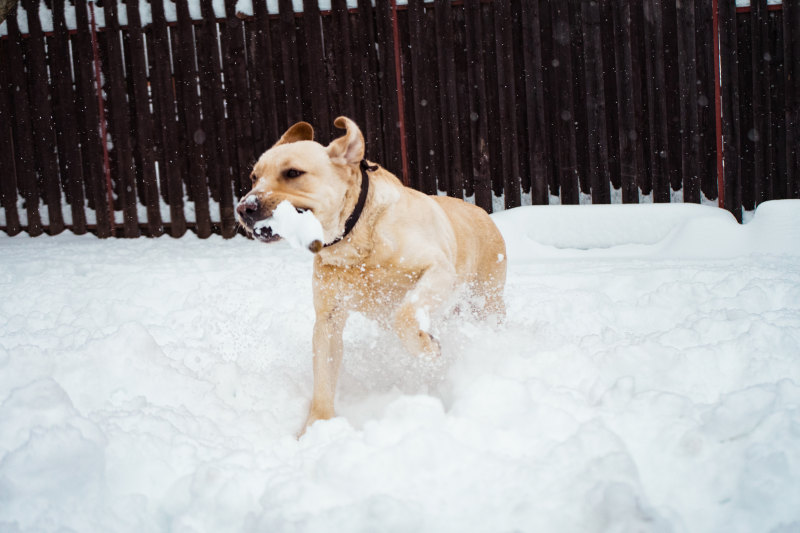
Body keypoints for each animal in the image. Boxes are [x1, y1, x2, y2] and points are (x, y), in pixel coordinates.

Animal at [234, 115, 506, 432]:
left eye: (293, 173)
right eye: (254, 177)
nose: (243, 208)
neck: (355, 240)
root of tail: (481, 211)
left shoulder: (438, 270)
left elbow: (405, 316)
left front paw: (427, 348)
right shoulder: (328, 319)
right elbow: (323, 375)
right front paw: (317, 428)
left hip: (487, 301)